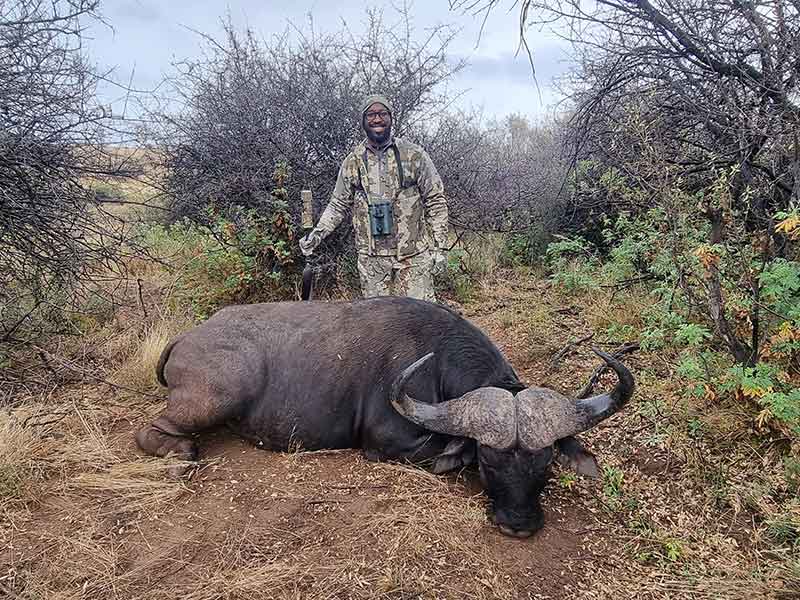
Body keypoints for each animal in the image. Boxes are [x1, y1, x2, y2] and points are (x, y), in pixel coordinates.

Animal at [136, 297, 634, 537]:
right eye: (489, 461)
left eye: (545, 462)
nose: (519, 524)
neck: (436, 358)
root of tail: (189, 336)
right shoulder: (389, 443)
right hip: (217, 397)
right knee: (149, 433)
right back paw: (181, 455)